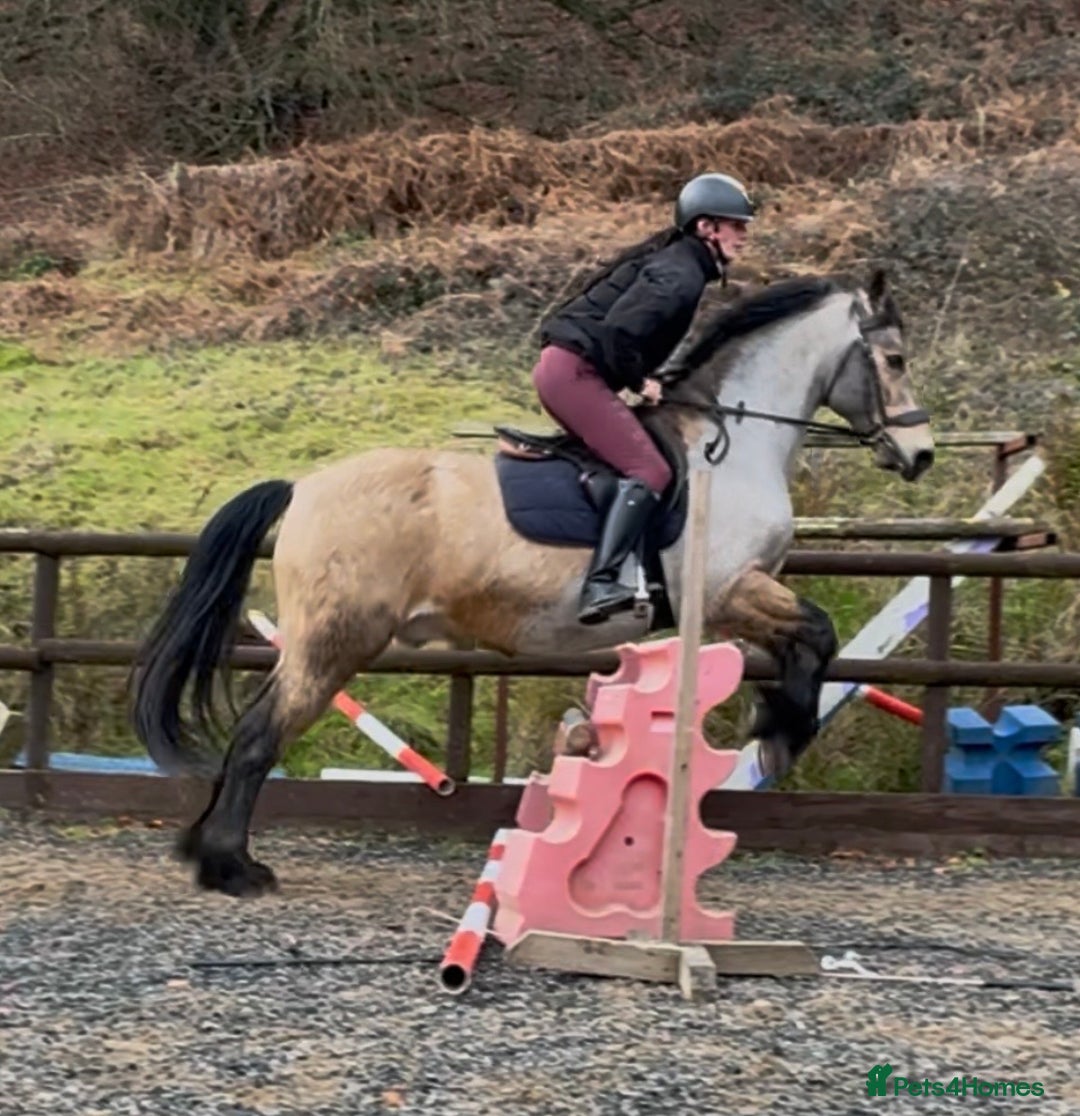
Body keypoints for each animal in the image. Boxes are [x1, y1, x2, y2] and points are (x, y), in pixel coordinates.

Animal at [129, 268, 935, 897]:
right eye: (894, 358)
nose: (921, 454)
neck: (730, 440)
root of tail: (301, 487)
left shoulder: (742, 599)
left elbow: (803, 648)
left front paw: (776, 727)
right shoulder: (726, 592)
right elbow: (819, 632)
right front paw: (779, 737)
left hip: (322, 642)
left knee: (254, 730)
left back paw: (207, 854)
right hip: (336, 642)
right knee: (259, 735)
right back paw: (232, 868)